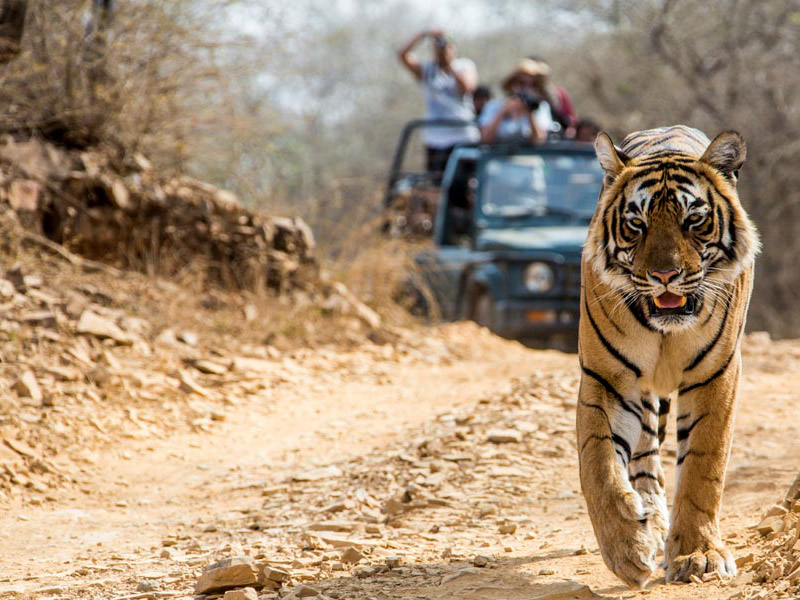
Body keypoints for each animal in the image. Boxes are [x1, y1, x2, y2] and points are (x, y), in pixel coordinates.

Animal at [576, 124, 764, 588]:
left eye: (693, 220)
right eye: (636, 225)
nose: (664, 275)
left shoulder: (716, 376)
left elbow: (702, 468)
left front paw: (699, 556)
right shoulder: (606, 378)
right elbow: (598, 465)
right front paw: (627, 548)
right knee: (644, 456)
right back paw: (650, 520)